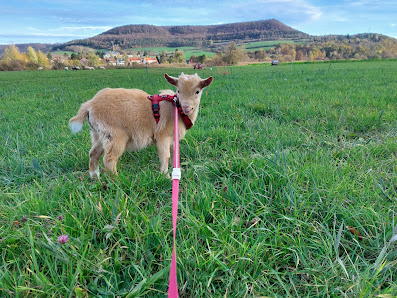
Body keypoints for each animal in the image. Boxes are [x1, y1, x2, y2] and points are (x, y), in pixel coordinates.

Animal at [68, 73, 213, 178]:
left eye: (197, 91)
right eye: (178, 90)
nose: (186, 107)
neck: (176, 109)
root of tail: (89, 105)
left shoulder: (172, 138)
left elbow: (173, 156)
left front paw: (176, 170)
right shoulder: (163, 136)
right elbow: (165, 156)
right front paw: (165, 176)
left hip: (99, 134)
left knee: (93, 154)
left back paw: (95, 177)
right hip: (114, 135)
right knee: (109, 160)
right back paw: (117, 180)